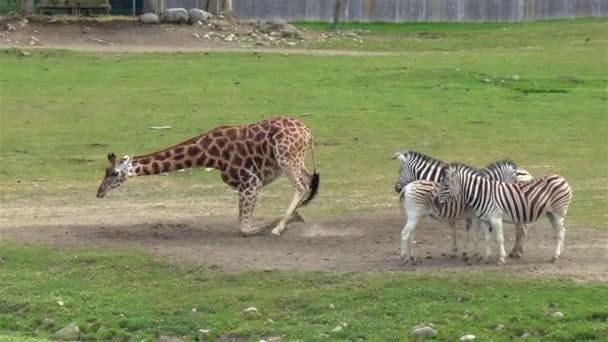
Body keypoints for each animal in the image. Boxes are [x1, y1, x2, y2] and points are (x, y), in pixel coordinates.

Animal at [96, 116, 318, 236]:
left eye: (115, 173)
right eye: (105, 171)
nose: (99, 192)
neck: (209, 155)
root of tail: (308, 133)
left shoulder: (249, 183)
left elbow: (245, 228)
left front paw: (280, 223)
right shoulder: (248, 185)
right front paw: (296, 218)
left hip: (287, 160)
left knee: (301, 186)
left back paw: (279, 228)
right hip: (295, 161)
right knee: (308, 181)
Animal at [394, 151, 532, 260]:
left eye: (399, 171)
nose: (396, 188)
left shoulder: (468, 215)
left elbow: (469, 233)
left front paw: (466, 252)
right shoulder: (464, 215)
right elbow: (463, 233)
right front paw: (464, 252)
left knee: (522, 229)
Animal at [434, 163, 572, 264]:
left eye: (445, 186)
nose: (435, 202)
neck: (481, 193)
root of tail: (561, 178)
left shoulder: (495, 218)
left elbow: (499, 238)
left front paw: (501, 259)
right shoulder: (485, 220)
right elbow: (487, 238)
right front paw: (487, 257)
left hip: (558, 212)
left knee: (560, 232)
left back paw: (555, 256)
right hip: (551, 213)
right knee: (562, 231)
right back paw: (560, 253)